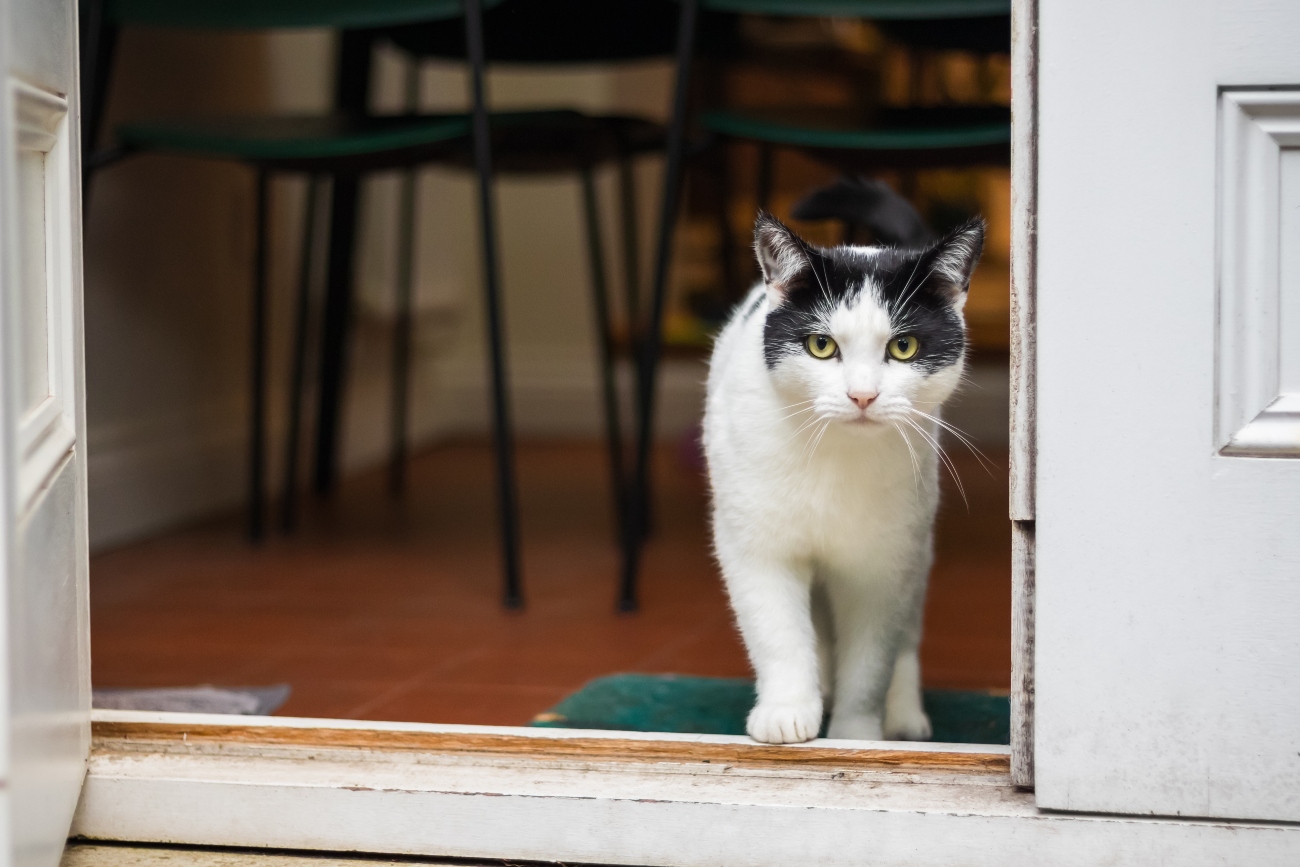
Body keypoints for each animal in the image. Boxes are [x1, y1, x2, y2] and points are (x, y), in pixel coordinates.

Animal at [707, 206, 977, 743]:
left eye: (904, 346)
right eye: (820, 345)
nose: (862, 395)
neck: (835, 455)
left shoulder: (883, 566)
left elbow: (871, 662)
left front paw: (855, 735)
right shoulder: (758, 547)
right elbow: (778, 635)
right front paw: (788, 711)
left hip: (916, 543)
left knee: (906, 635)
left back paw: (904, 715)